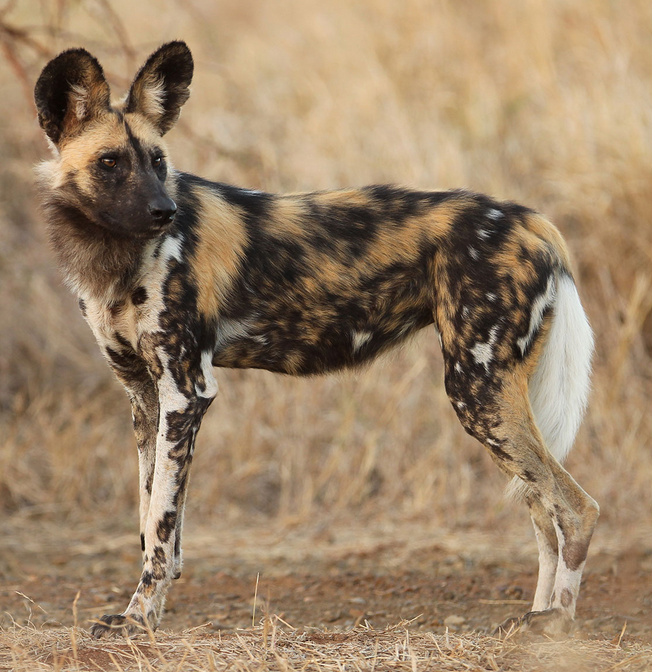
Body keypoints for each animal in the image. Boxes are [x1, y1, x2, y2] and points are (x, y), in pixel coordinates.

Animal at [34, 39, 596, 636]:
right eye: (110, 162)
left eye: (158, 162)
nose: (164, 211)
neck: (115, 258)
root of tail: (531, 220)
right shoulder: (144, 396)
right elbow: (151, 517)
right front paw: (144, 611)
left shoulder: (186, 392)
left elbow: (161, 528)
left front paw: (139, 619)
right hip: (494, 399)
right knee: (543, 511)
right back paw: (535, 616)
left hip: (477, 393)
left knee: (575, 508)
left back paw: (559, 620)